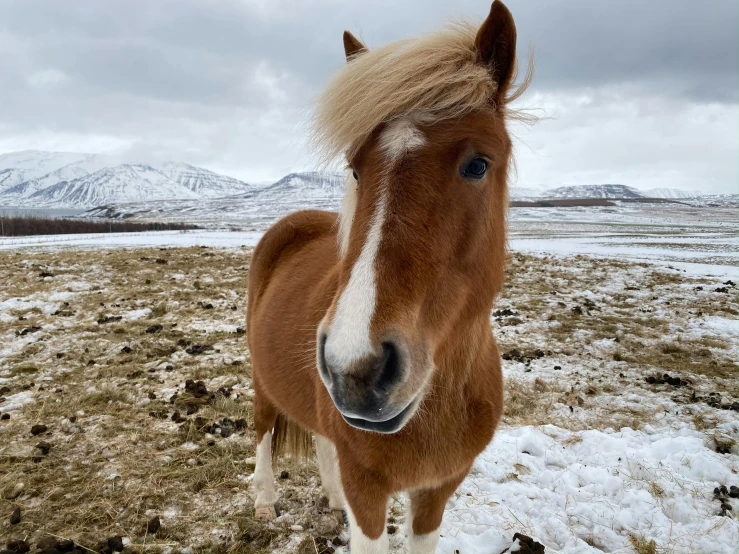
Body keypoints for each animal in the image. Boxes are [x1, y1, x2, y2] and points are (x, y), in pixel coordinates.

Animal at [247, 2, 528, 548]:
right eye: (356, 168)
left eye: (478, 164)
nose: (356, 369)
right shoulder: (369, 490)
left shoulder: (438, 492)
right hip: (262, 381)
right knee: (263, 429)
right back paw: (265, 502)